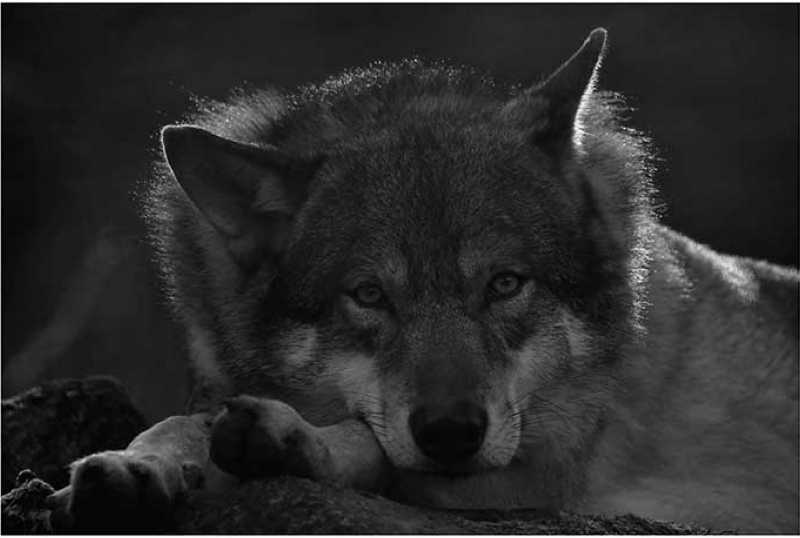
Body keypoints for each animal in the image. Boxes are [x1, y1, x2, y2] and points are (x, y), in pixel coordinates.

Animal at [46, 28, 799, 533]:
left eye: (505, 284)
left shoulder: (543, 470)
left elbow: (372, 445)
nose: (450, 433)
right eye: (369, 295)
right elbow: (178, 423)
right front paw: (136, 464)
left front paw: (295, 441)